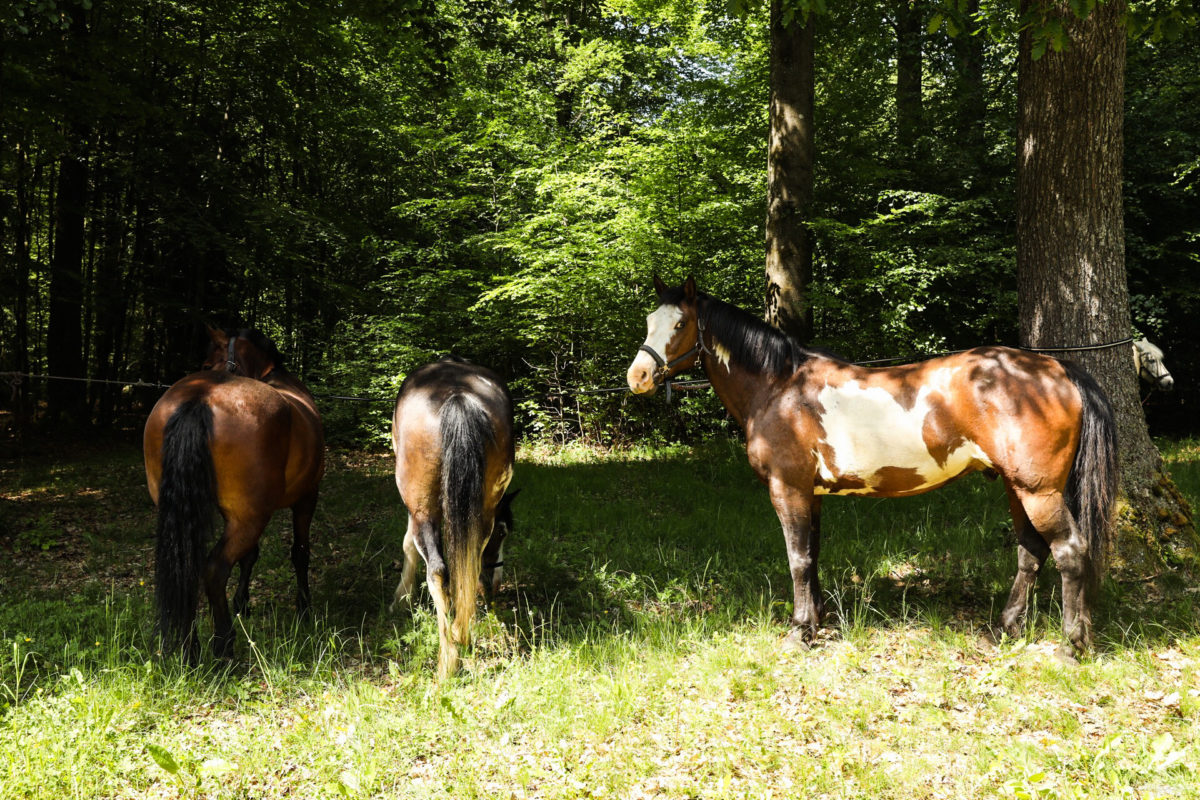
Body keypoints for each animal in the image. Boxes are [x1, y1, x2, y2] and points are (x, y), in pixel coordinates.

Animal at [141, 321, 324, 662]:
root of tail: (202, 396)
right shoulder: (307, 498)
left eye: (204, 363)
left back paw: (189, 647)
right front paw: (304, 608)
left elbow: (250, 556)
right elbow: (299, 553)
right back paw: (223, 643)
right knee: (215, 569)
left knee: (190, 566)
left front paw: (242, 602)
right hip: (250, 518)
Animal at [388, 357, 511, 676]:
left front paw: (401, 599)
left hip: (422, 508)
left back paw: (448, 661)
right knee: (468, 563)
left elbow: (408, 545)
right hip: (482, 510)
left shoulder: (415, 511)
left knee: (438, 570)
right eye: (503, 532)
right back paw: (463, 634)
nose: (496, 583)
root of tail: (458, 396)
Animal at [624, 278, 1118, 662]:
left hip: (1039, 491)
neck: (779, 387)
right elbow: (812, 555)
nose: (638, 377)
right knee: (1030, 553)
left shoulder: (788, 488)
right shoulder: (811, 494)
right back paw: (1005, 629)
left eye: (680, 324)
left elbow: (797, 559)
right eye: (648, 320)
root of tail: (1057, 368)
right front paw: (816, 622)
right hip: (1017, 488)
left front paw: (798, 632)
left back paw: (1070, 646)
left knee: (1069, 552)